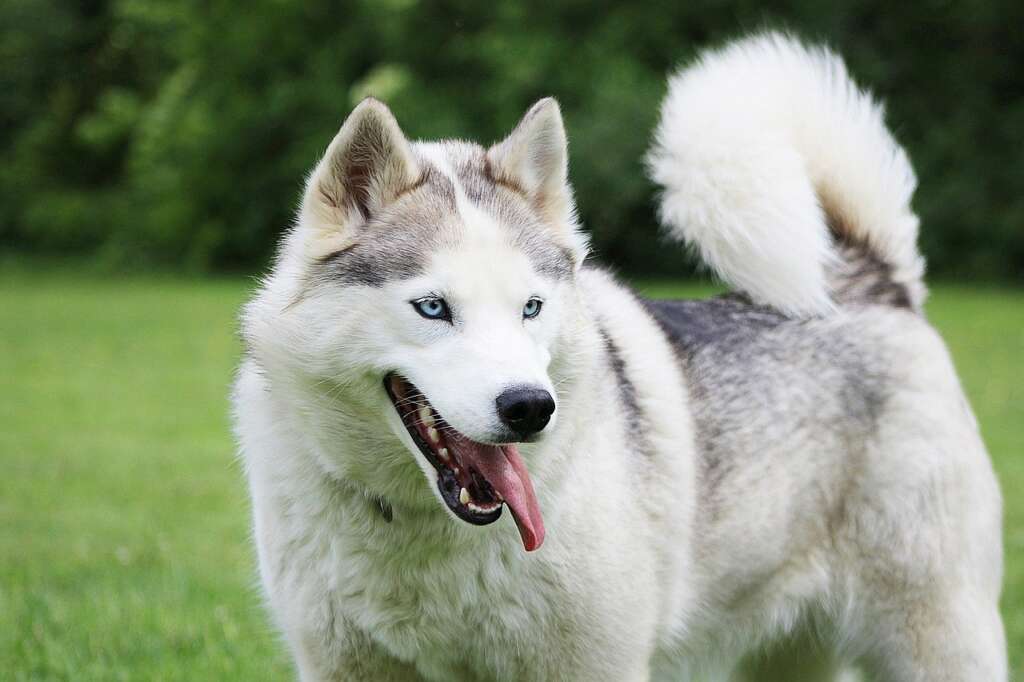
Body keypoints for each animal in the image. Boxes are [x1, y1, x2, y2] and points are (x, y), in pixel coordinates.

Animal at [230, 33, 999, 679]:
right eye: (433, 308)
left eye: (532, 307)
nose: (530, 407)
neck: (424, 526)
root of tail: (867, 282)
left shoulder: (594, 663)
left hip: (936, 639)